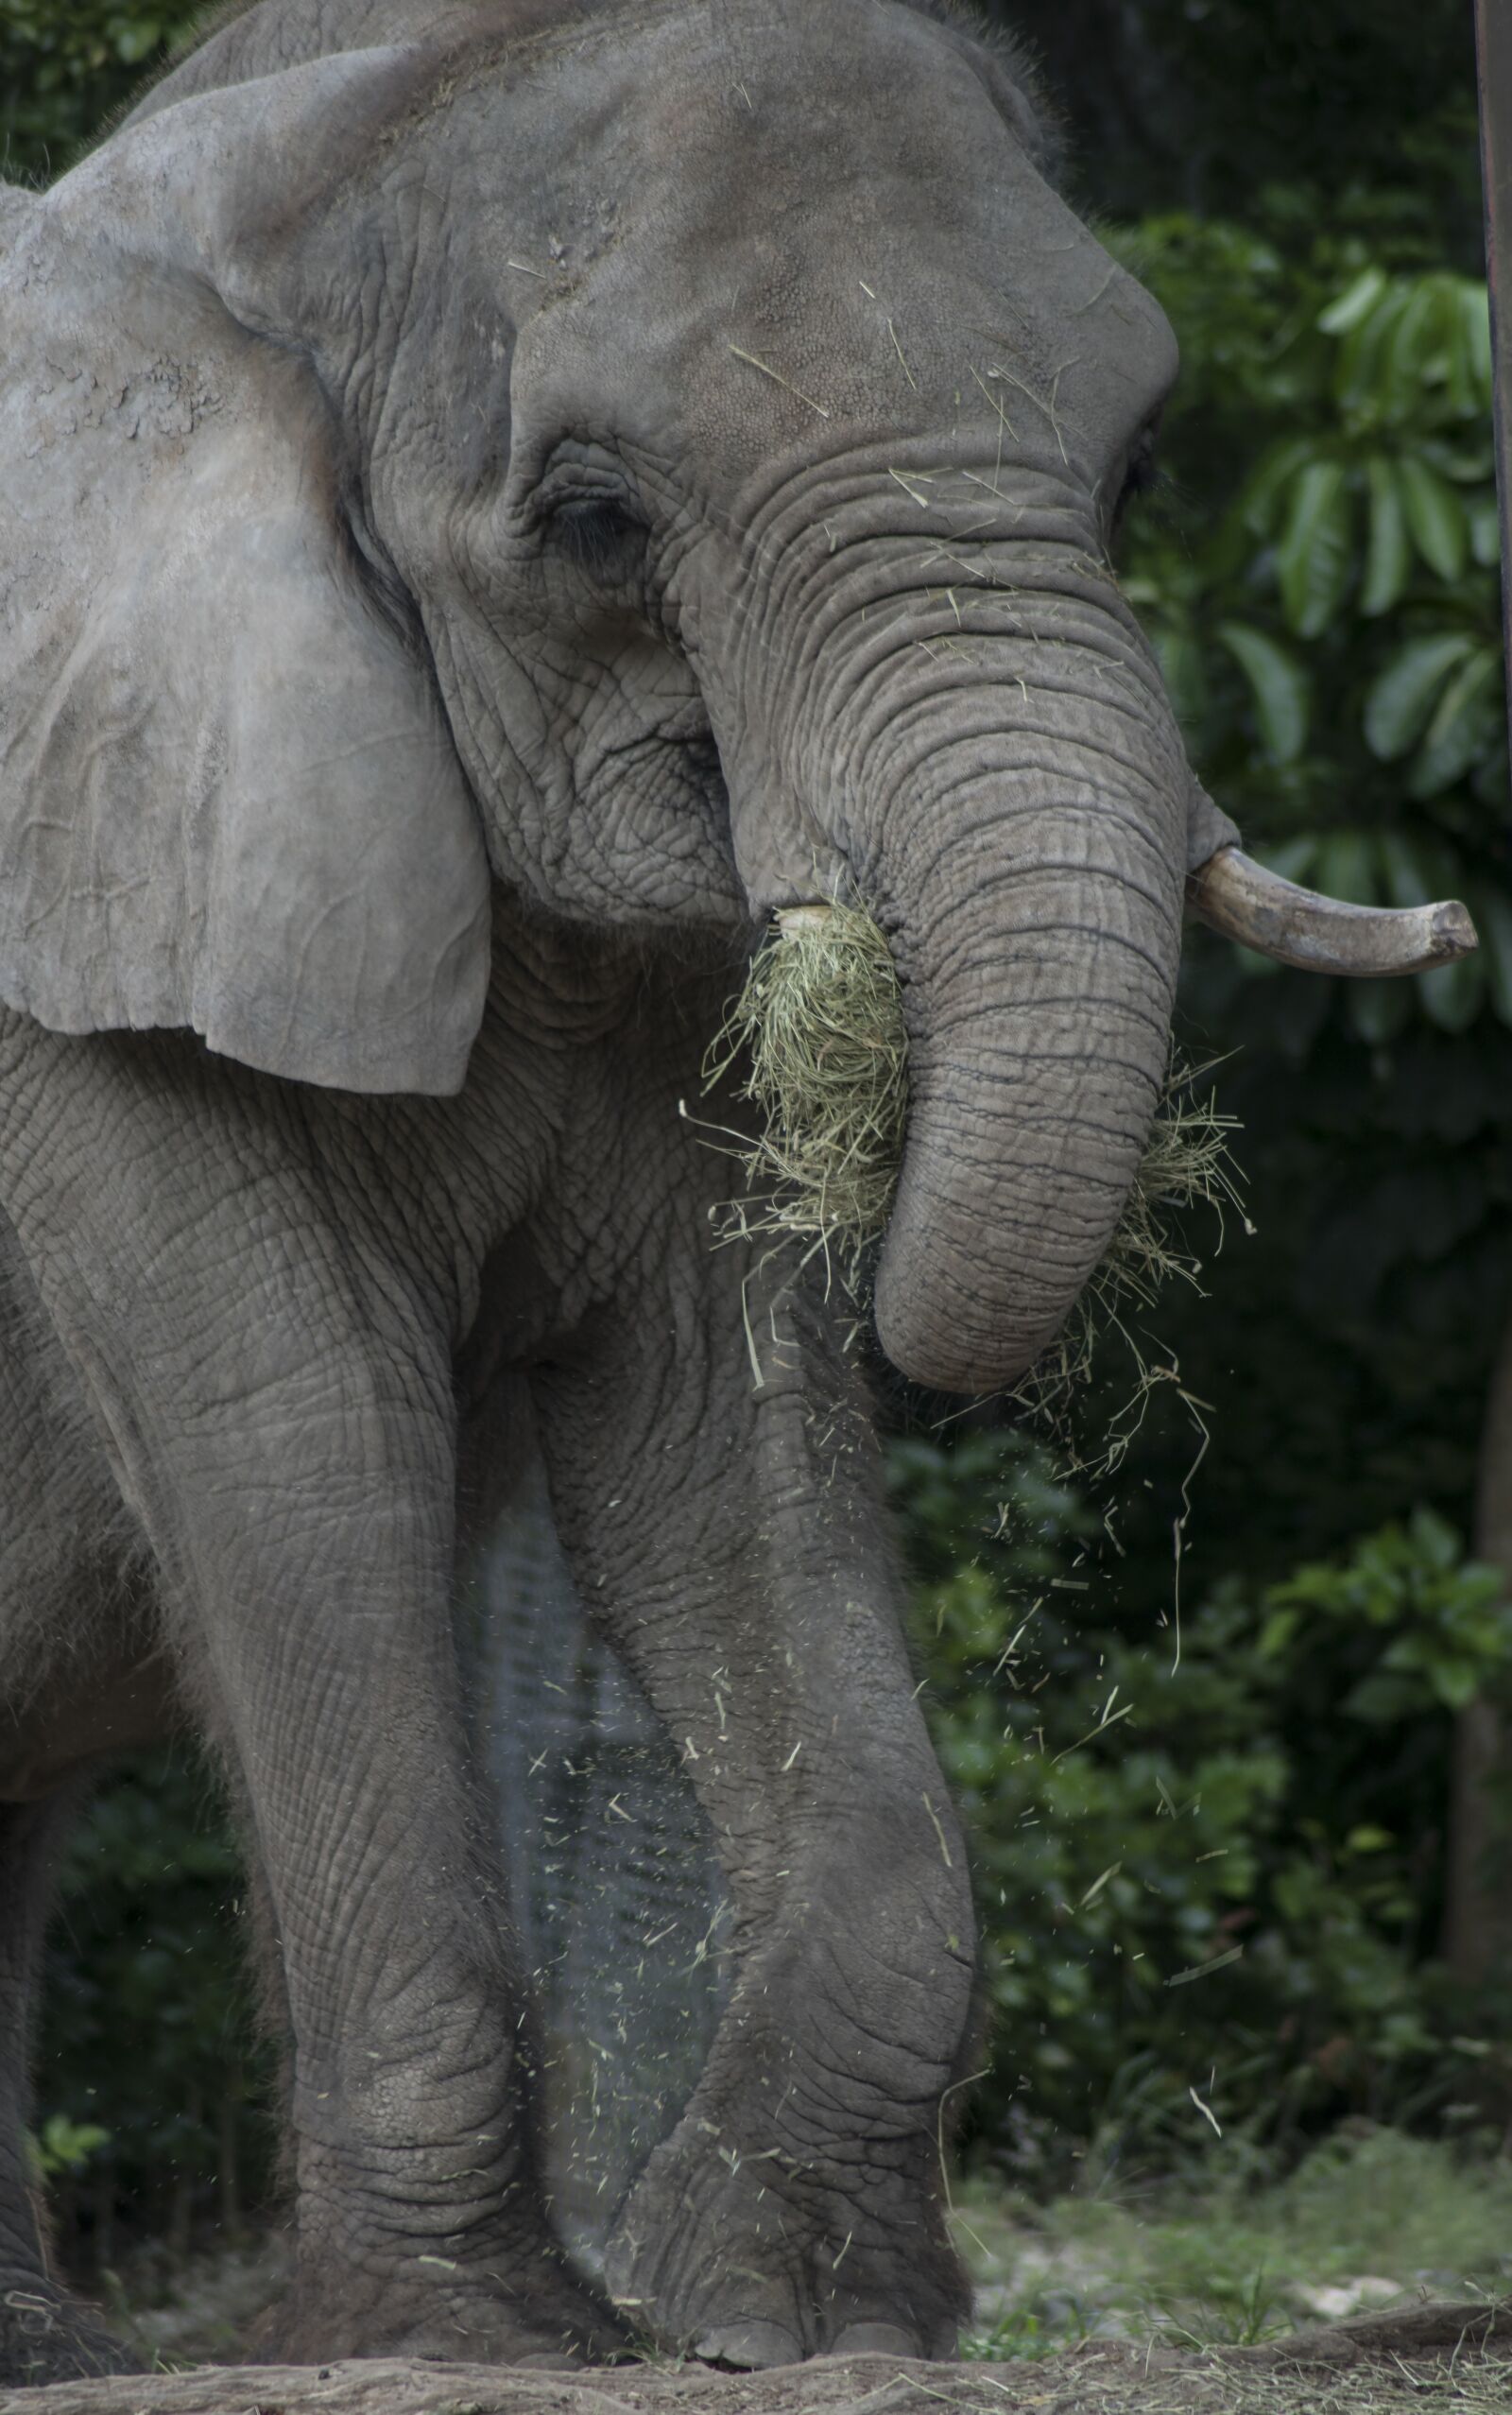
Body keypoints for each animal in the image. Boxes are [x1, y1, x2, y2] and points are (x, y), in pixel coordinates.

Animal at [0, 0, 1472, 2385]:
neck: (309, 160)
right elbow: (300, 1427)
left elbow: (728, 1432)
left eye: (1137, 470)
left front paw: (783, 2311)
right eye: (594, 516)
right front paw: (479, 2332)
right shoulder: (79, 913)